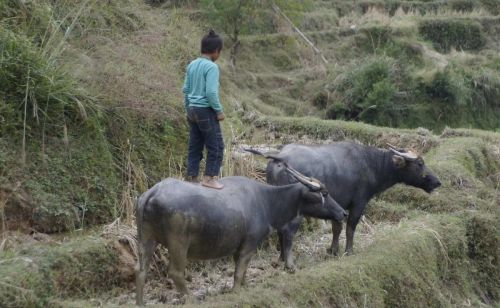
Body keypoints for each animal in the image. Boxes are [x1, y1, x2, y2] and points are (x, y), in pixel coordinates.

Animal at [137, 166, 348, 304]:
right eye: (325, 193)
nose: (344, 213)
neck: (267, 201)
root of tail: (152, 193)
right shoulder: (249, 244)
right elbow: (239, 272)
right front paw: (236, 291)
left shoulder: (238, 248)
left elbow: (243, 271)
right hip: (179, 243)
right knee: (175, 273)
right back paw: (190, 299)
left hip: (146, 239)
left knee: (141, 272)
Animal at [247, 142, 442, 270]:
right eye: (419, 163)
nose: (437, 182)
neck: (370, 164)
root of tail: (280, 157)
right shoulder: (358, 203)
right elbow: (350, 228)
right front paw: (349, 250)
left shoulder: (339, 206)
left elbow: (337, 228)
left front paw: (333, 250)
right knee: (287, 231)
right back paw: (288, 262)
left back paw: (280, 258)